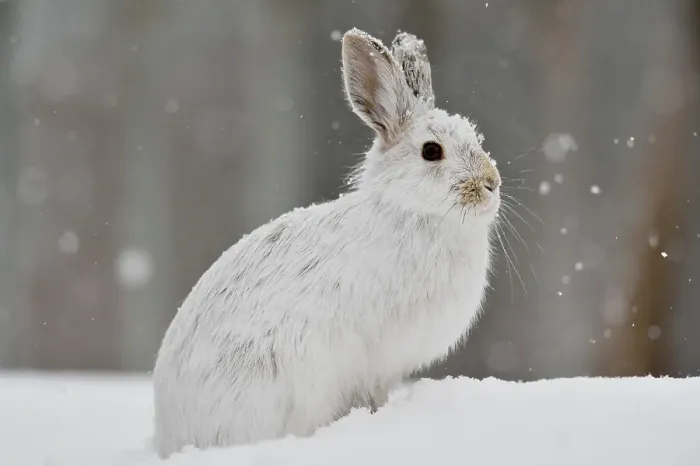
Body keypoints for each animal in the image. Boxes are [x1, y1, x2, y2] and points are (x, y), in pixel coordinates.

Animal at [152, 27, 501, 458]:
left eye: (475, 136)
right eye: (431, 151)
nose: (492, 184)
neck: (410, 211)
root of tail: (174, 436)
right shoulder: (377, 357)